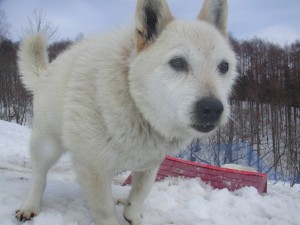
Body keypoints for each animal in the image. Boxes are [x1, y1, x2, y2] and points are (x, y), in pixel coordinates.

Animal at [15, 0, 237, 224]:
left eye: (224, 66)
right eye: (177, 62)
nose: (213, 108)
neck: (135, 105)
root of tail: (44, 73)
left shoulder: (149, 165)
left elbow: (138, 197)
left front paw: (132, 215)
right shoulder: (94, 168)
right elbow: (105, 211)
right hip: (47, 147)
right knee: (39, 177)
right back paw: (30, 206)